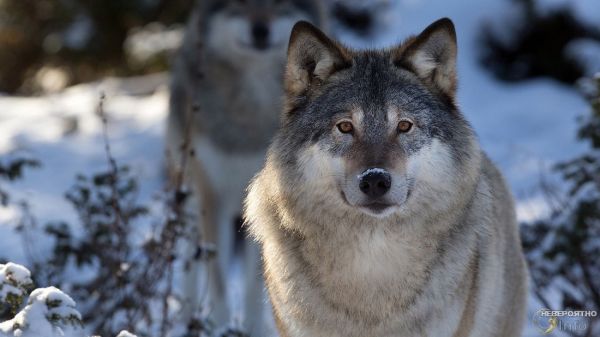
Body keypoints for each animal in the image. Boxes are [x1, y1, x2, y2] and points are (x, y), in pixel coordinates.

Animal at [166, 0, 326, 334]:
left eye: (279, 5)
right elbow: (217, 278)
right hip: (188, 198)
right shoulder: (211, 197)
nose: (260, 30)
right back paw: (187, 317)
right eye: (238, 4)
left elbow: (255, 282)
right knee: (189, 258)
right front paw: (221, 326)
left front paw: (254, 328)